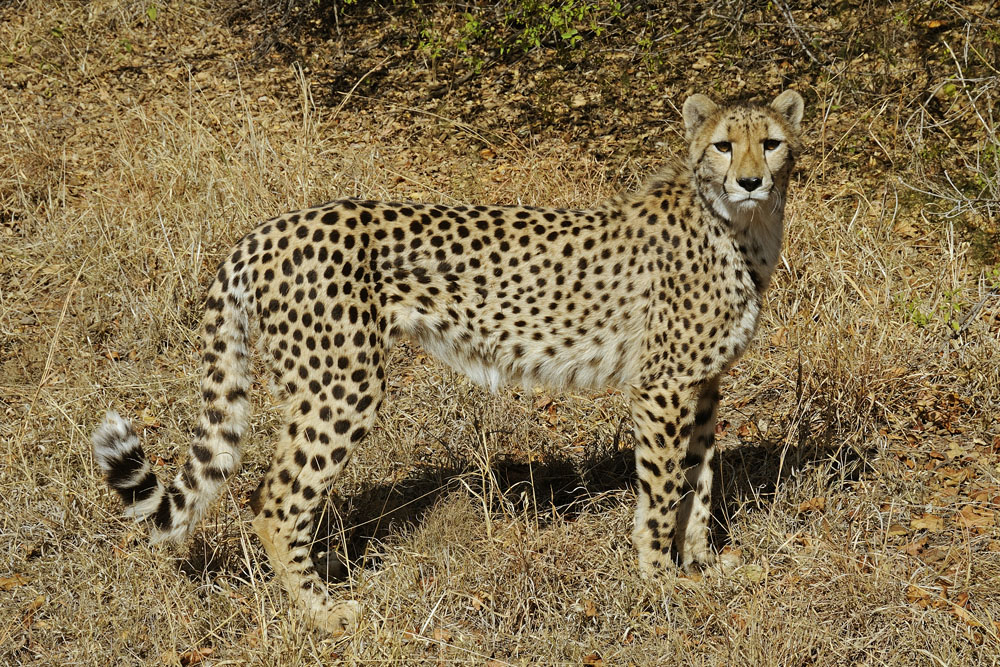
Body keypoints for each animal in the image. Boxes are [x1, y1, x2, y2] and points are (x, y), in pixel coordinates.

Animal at [92, 89, 805, 634]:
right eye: (723, 145)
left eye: (771, 143)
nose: (751, 181)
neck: (741, 229)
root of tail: (267, 230)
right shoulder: (661, 386)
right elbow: (660, 491)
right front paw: (660, 580)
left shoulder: (703, 384)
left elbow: (700, 478)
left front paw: (703, 562)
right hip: (343, 385)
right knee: (274, 499)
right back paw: (324, 614)